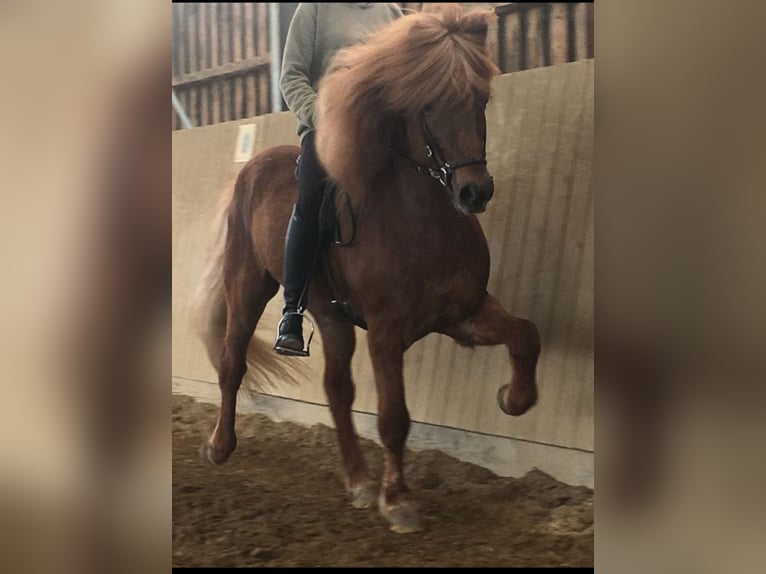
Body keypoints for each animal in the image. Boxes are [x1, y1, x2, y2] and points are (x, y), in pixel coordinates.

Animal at [194, 5, 540, 536]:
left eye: (481, 98)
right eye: (429, 106)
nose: (474, 192)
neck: (423, 220)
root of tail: (251, 168)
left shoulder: (464, 313)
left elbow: (526, 334)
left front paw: (513, 399)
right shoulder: (386, 331)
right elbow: (394, 416)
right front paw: (397, 501)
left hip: (330, 316)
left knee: (337, 389)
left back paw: (356, 480)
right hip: (248, 287)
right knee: (233, 362)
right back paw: (219, 447)